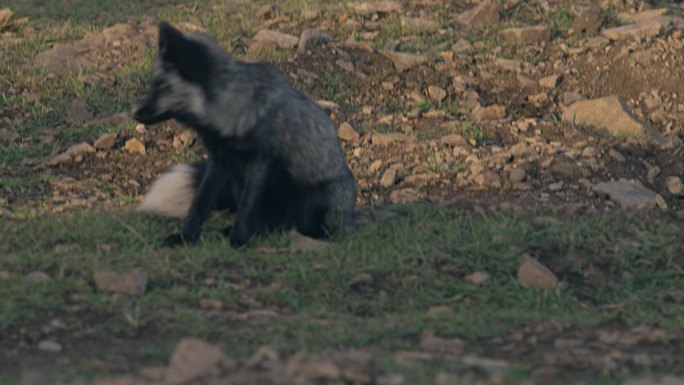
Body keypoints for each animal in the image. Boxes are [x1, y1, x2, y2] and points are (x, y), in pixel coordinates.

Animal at [134, 22, 358, 248]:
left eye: (163, 86)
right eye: (154, 84)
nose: (136, 114)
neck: (235, 109)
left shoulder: (261, 162)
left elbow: (246, 209)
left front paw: (238, 240)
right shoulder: (219, 162)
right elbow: (199, 204)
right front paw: (186, 237)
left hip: (319, 200)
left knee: (299, 226)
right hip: (237, 185)